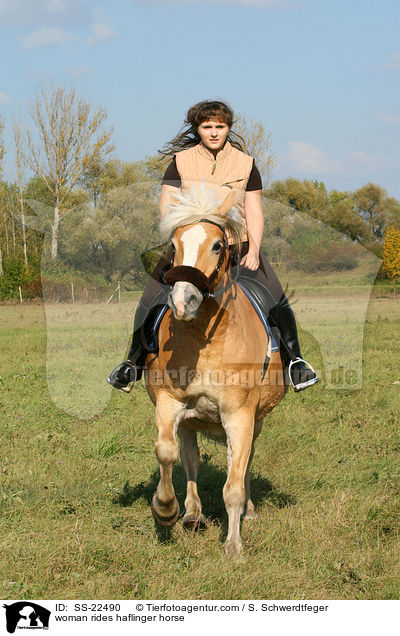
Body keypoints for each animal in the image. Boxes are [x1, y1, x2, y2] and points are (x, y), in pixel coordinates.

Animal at [145, 184, 288, 552]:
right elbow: (166, 452)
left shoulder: (240, 416)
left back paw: (248, 513)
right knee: (191, 458)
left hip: (254, 420)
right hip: (191, 422)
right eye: (173, 245)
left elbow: (233, 484)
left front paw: (233, 546)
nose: (183, 302)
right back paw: (192, 515)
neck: (206, 338)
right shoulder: (170, 402)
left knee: (243, 462)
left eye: (217, 245)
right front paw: (165, 508)